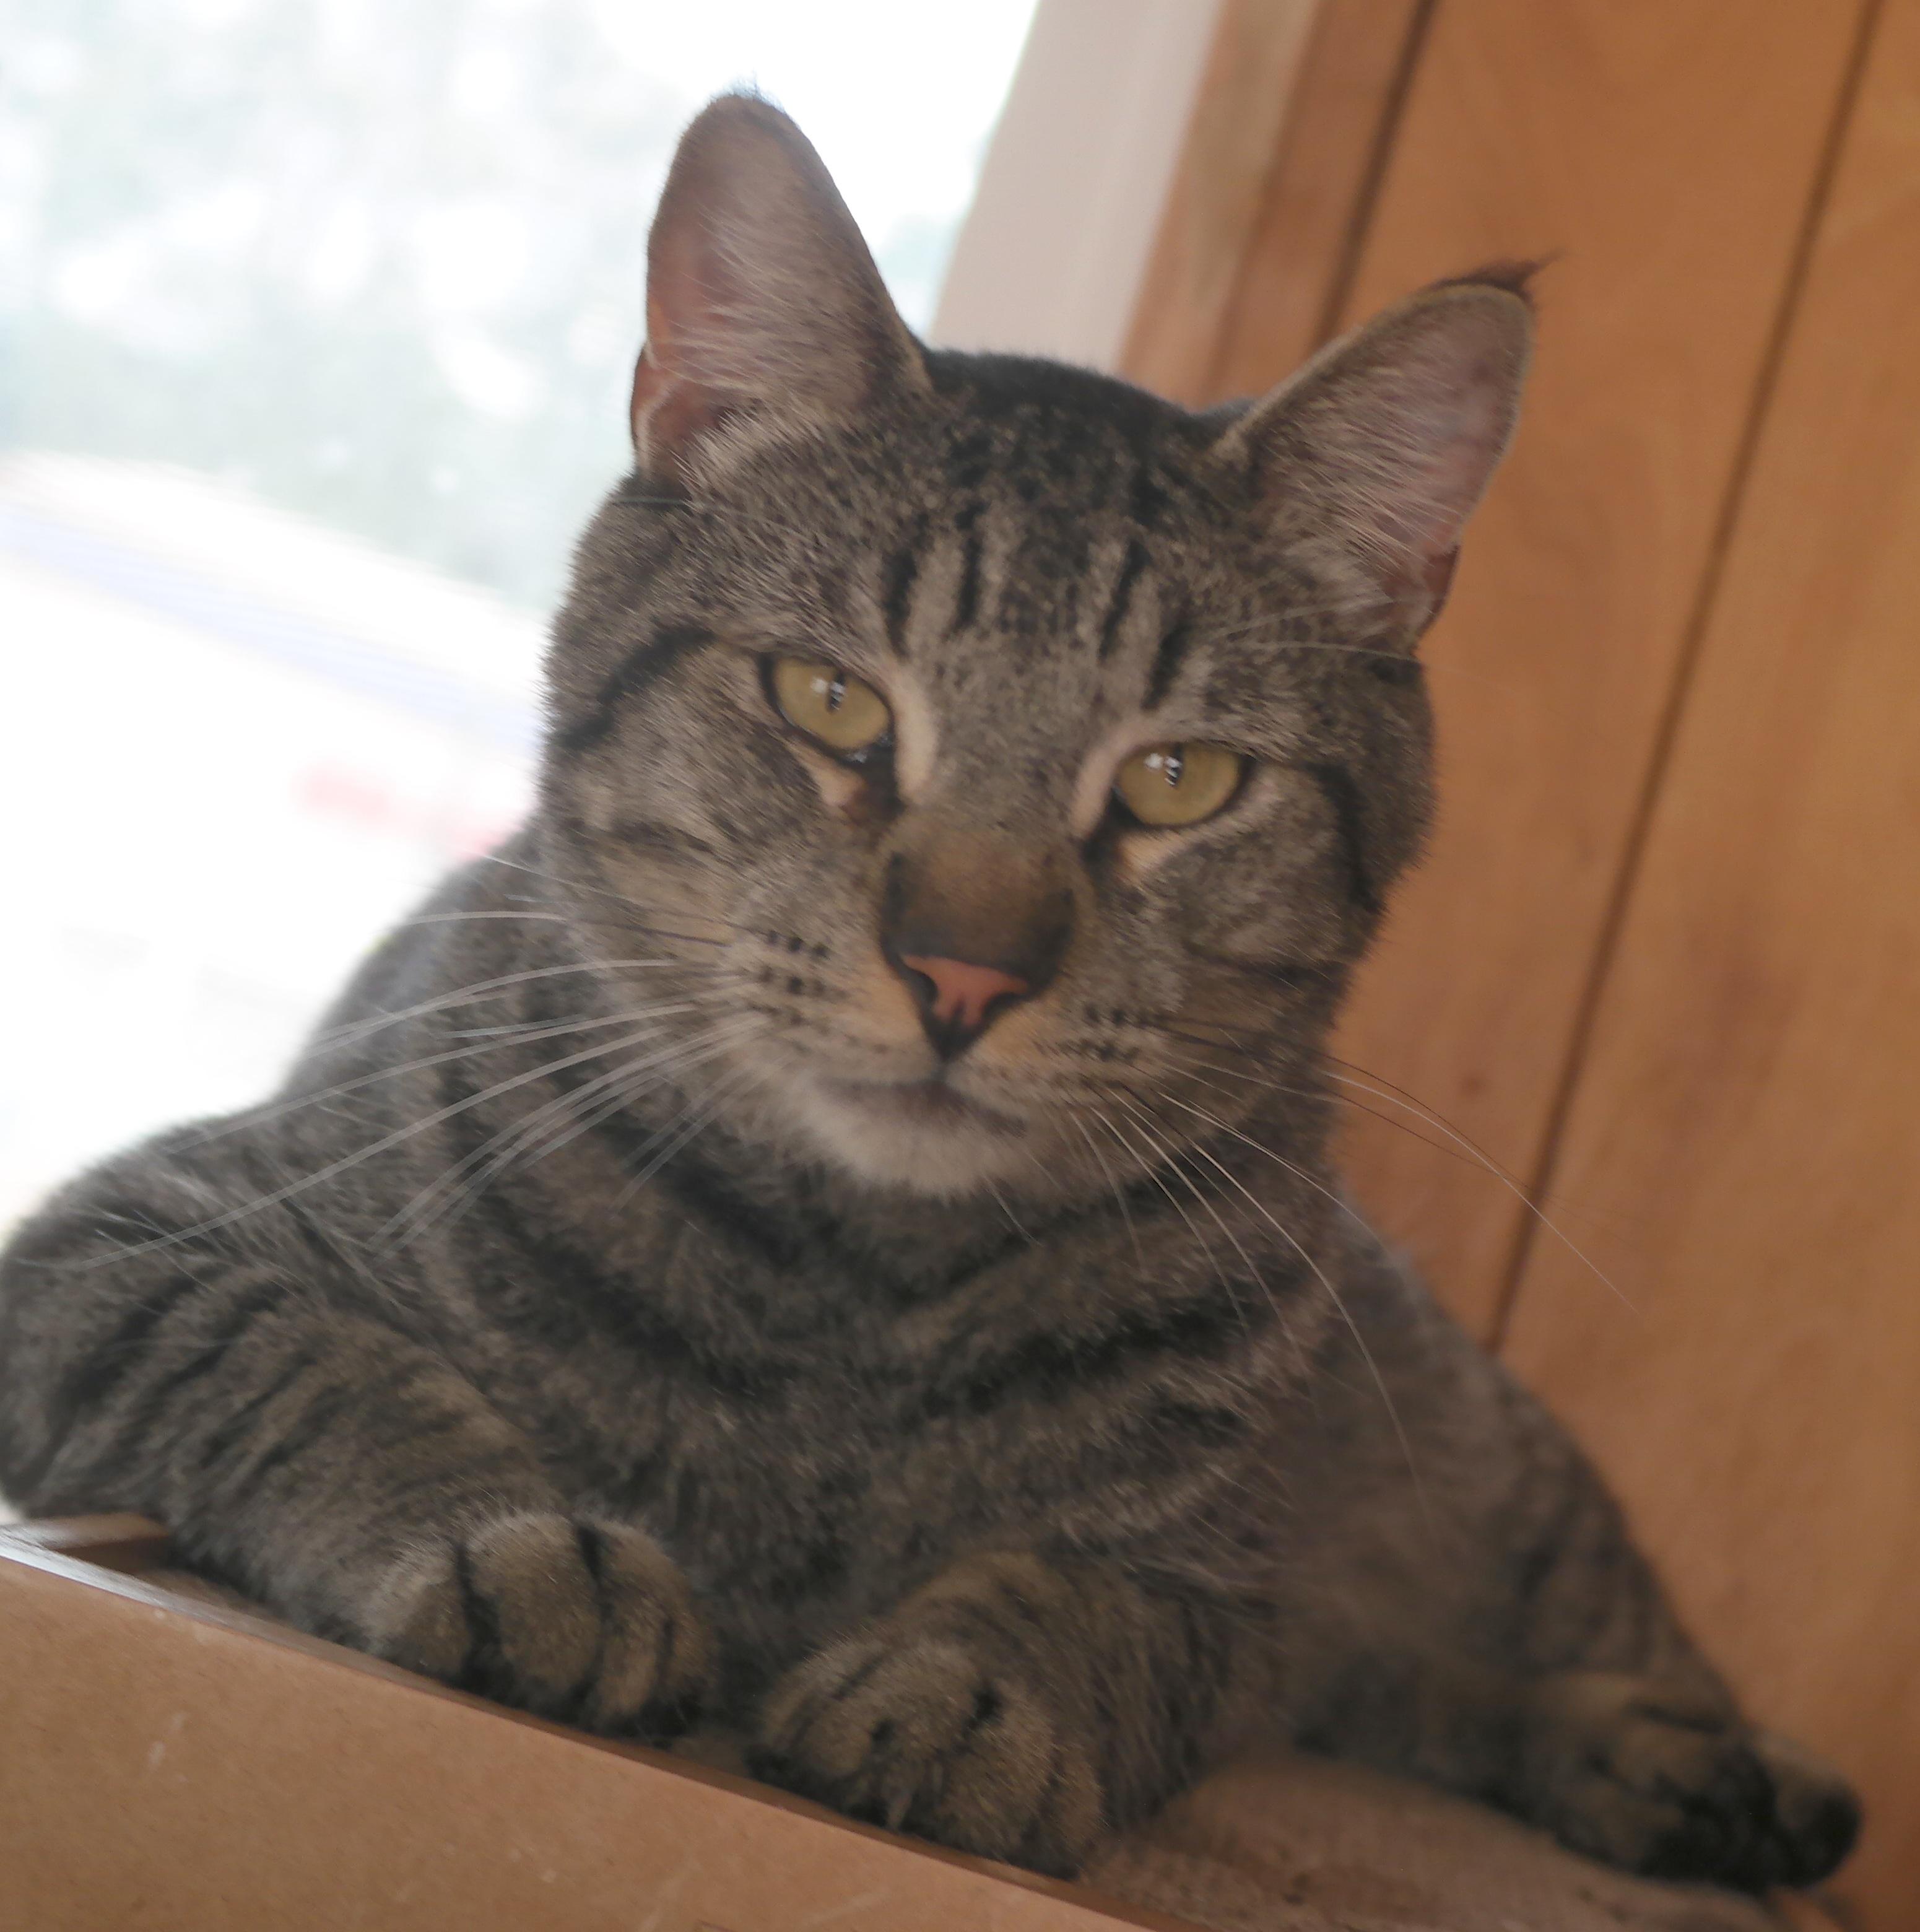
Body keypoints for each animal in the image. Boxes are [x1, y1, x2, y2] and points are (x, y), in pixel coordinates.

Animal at [0, 98, 1854, 1893]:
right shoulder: (122, 1240)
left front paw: (972, 1688)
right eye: (829, 700)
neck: (854, 1299)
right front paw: (511, 1537)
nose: (965, 971)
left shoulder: (1234, 1573)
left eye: (1179, 779)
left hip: (1494, 1496)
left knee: (1511, 1660)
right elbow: (311, 1359)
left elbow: (1092, 1594)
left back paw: (1704, 1767)